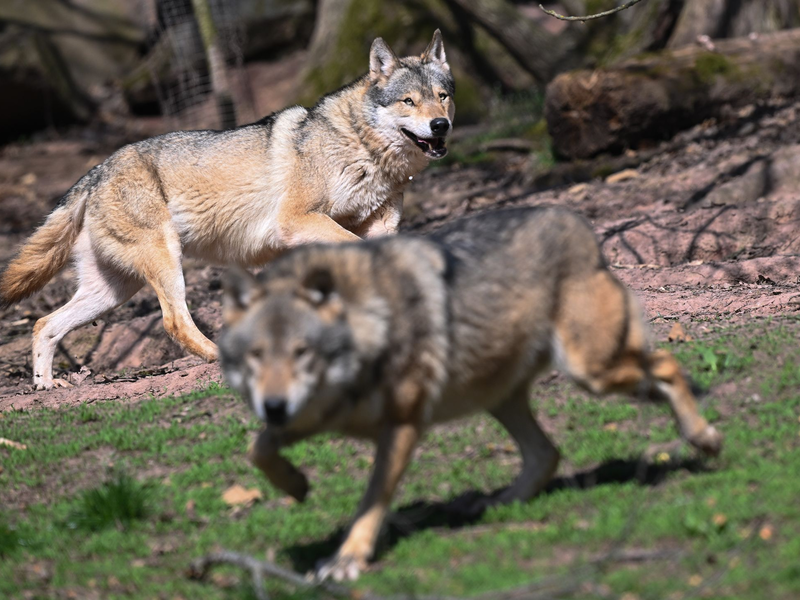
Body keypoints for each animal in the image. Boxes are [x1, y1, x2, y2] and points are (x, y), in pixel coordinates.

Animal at [0, 31, 454, 390]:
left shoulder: (377, 228)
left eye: (442, 97)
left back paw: (45, 387)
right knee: (174, 322)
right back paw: (221, 359)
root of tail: (95, 172)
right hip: (166, 265)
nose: (441, 126)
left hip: (110, 292)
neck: (362, 149)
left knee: (44, 325)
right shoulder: (297, 222)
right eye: (409, 101)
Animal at [218, 206, 723, 582]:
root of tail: (574, 220)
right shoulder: (313, 416)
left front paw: (347, 559)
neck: (369, 325)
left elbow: (371, 499)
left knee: (666, 365)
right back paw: (501, 503)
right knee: (548, 453)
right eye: (257, 356)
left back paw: (703, 438)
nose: (274, 405)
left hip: (591, 372)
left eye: (302, 352)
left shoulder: (401, 425)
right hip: (502, 396)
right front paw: (296, 485)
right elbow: (257, 448)